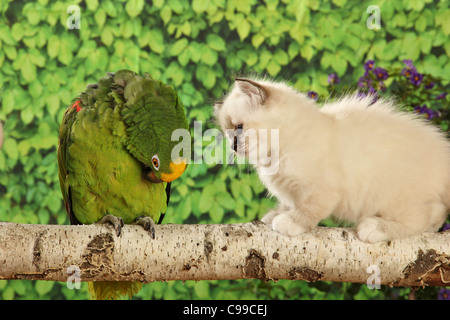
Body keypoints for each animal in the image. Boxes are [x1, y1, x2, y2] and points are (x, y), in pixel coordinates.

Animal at [214, 77, 450, 242]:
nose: (233, 146)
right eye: (228, 133)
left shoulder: (321, 191)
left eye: (239, 128)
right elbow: (288, 204)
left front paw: (289, 222)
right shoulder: (292, 191)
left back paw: (373, 228)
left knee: (424, 216)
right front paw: (276, 215)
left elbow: (306, 210)